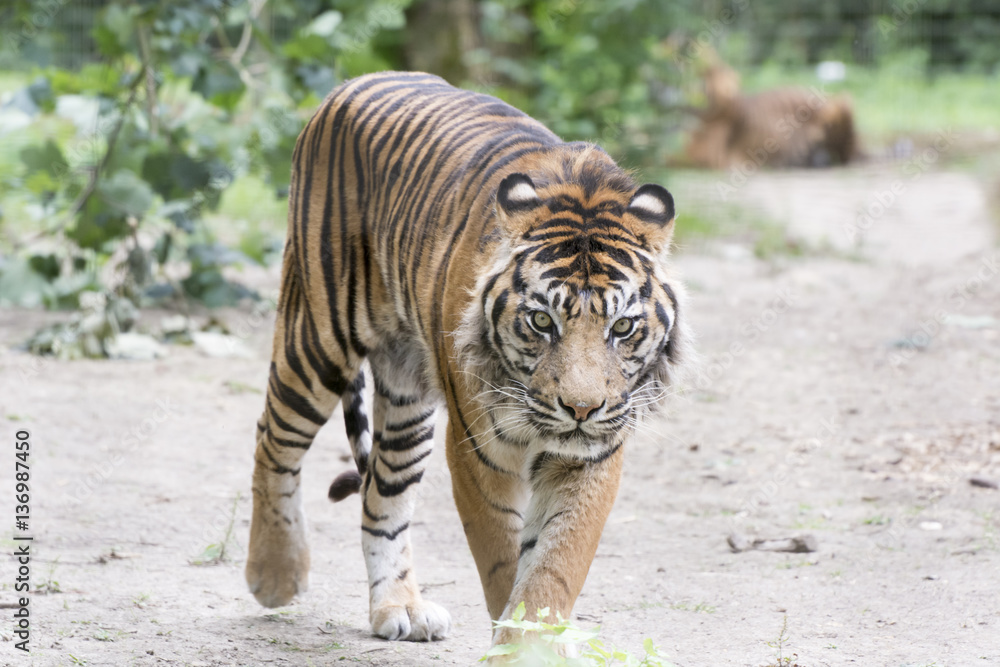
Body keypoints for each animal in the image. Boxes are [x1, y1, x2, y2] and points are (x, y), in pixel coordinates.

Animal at [245, 71, 689, 650]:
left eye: (622, 328)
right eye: (541, 321)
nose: (581, 409)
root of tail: (353, 82)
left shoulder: (592, 454)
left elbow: (555, 563)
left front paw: (537, 644)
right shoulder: (480, 452)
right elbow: (502, 561)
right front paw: (518, 645)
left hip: (406, 395)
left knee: (381, 493)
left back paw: (400, 606)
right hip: (317, 335)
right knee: (273, 438)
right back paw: (275, 574)